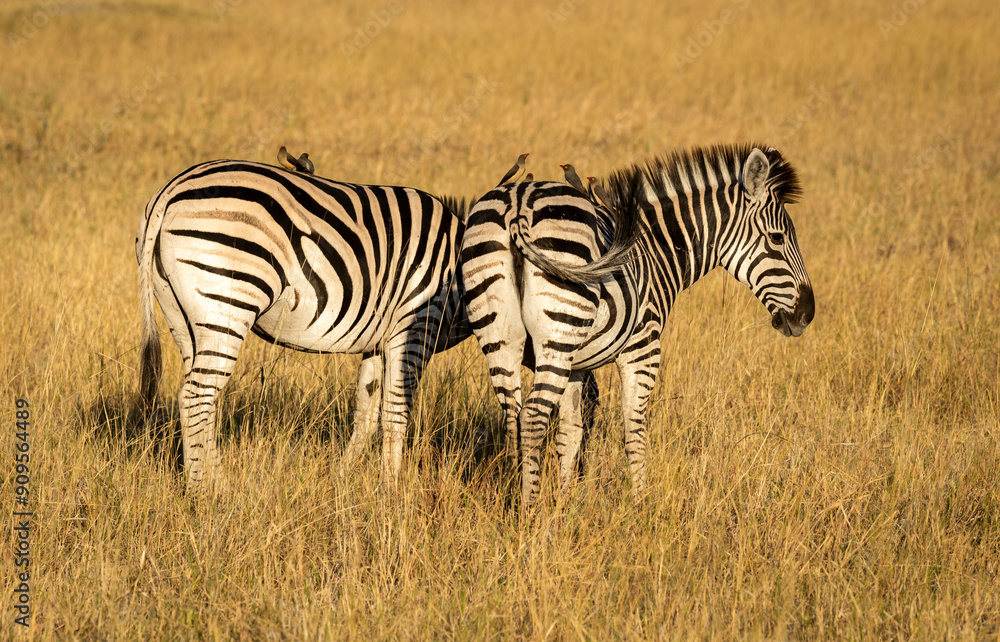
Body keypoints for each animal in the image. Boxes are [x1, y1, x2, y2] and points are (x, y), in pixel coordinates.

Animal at [135, 159, 468, 494]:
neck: (458, 271)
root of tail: (170, 190)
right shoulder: (414, 326)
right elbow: (395, 412)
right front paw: (390, 489)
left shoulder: (378, 341)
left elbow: (366, 413)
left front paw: (342, 480)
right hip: (227, 302)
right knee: (195, 397)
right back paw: (201, 493)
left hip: (184, 319)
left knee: (207, 399)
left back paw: (217, 485)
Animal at [461, 144, 814, 505]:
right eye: (777, 238)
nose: (807, 314)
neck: (657, 249)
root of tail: (518, 201)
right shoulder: (643, 347)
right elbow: (634, 430)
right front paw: (640, 503)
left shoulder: (577, 365)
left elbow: (569, 434)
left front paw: (565, 503)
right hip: (557, 334)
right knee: (531, 418)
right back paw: (529, 510)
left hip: (502, 336)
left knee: (512, 418)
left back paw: (513, 497)